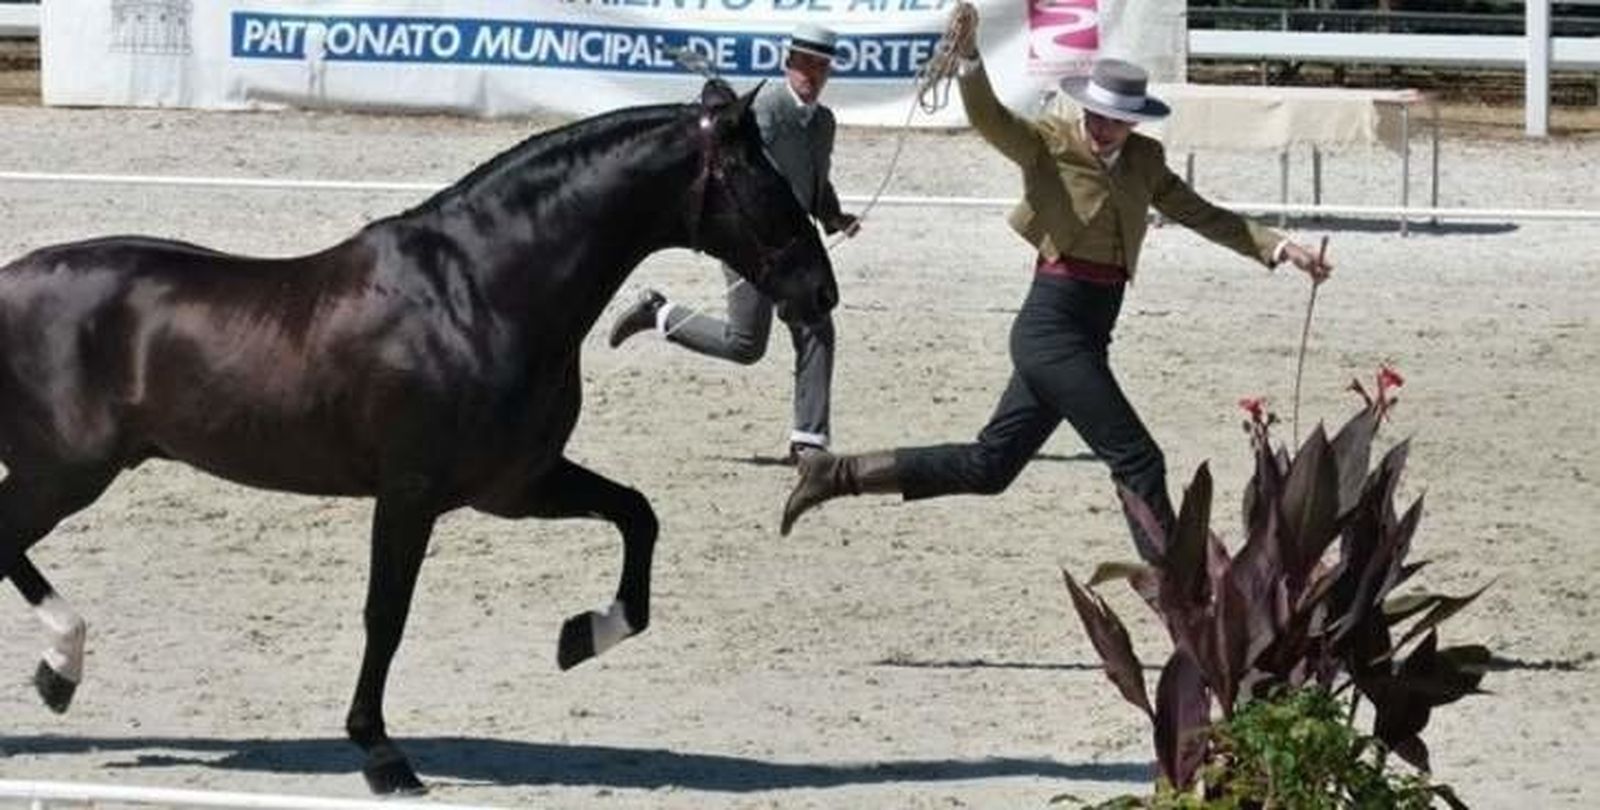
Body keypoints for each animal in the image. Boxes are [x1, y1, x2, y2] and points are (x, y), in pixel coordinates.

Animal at [0, 79, 837, 794]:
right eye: (765, 184)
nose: (820, 292)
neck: (480, 292)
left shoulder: (516, 483)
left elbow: (638, 514)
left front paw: (581, 638)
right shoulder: (410, 494)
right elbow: (386, 615)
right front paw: (382, 755)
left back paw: (54, 677)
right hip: (64, 472)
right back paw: (61, 666)